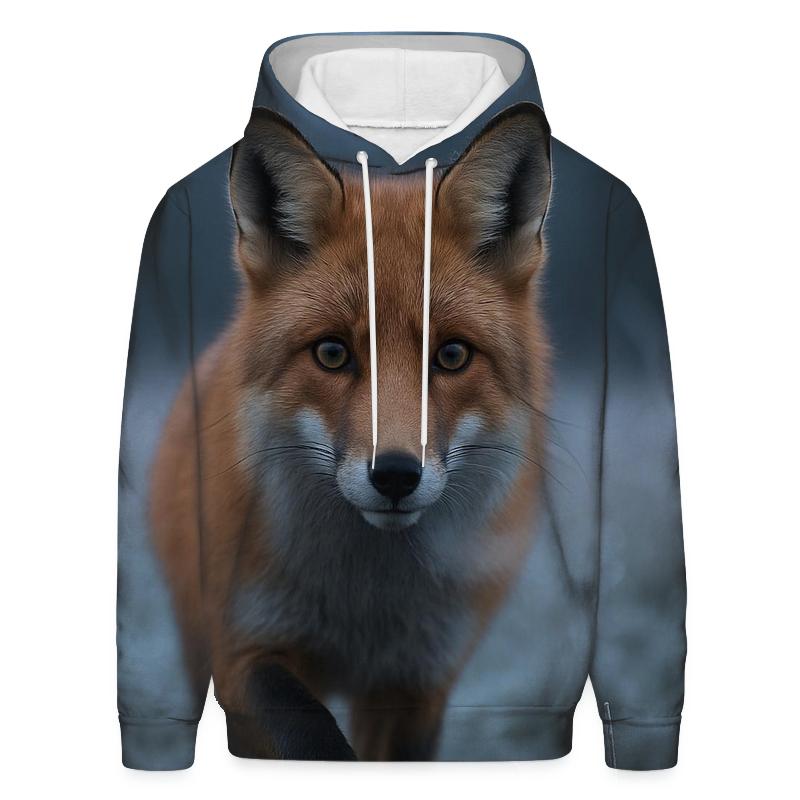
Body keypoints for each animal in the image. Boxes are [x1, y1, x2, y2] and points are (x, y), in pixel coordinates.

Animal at [151, 102, 553, 761]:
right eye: (333, 353)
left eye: (452, 356)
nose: (394, 475)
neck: (364, 606)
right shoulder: (244, 649)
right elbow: (312, 736)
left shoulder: (417, 682)